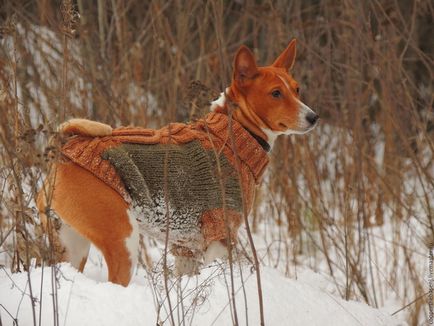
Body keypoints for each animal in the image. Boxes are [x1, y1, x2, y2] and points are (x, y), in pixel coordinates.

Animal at [36, 40, 318, 286]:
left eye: (297, 89)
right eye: (276, 93)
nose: (314, 117)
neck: (233, 133)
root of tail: (66, 150)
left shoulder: (186, 248)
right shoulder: (219, 238)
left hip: (71, 247)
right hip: (123, 241)